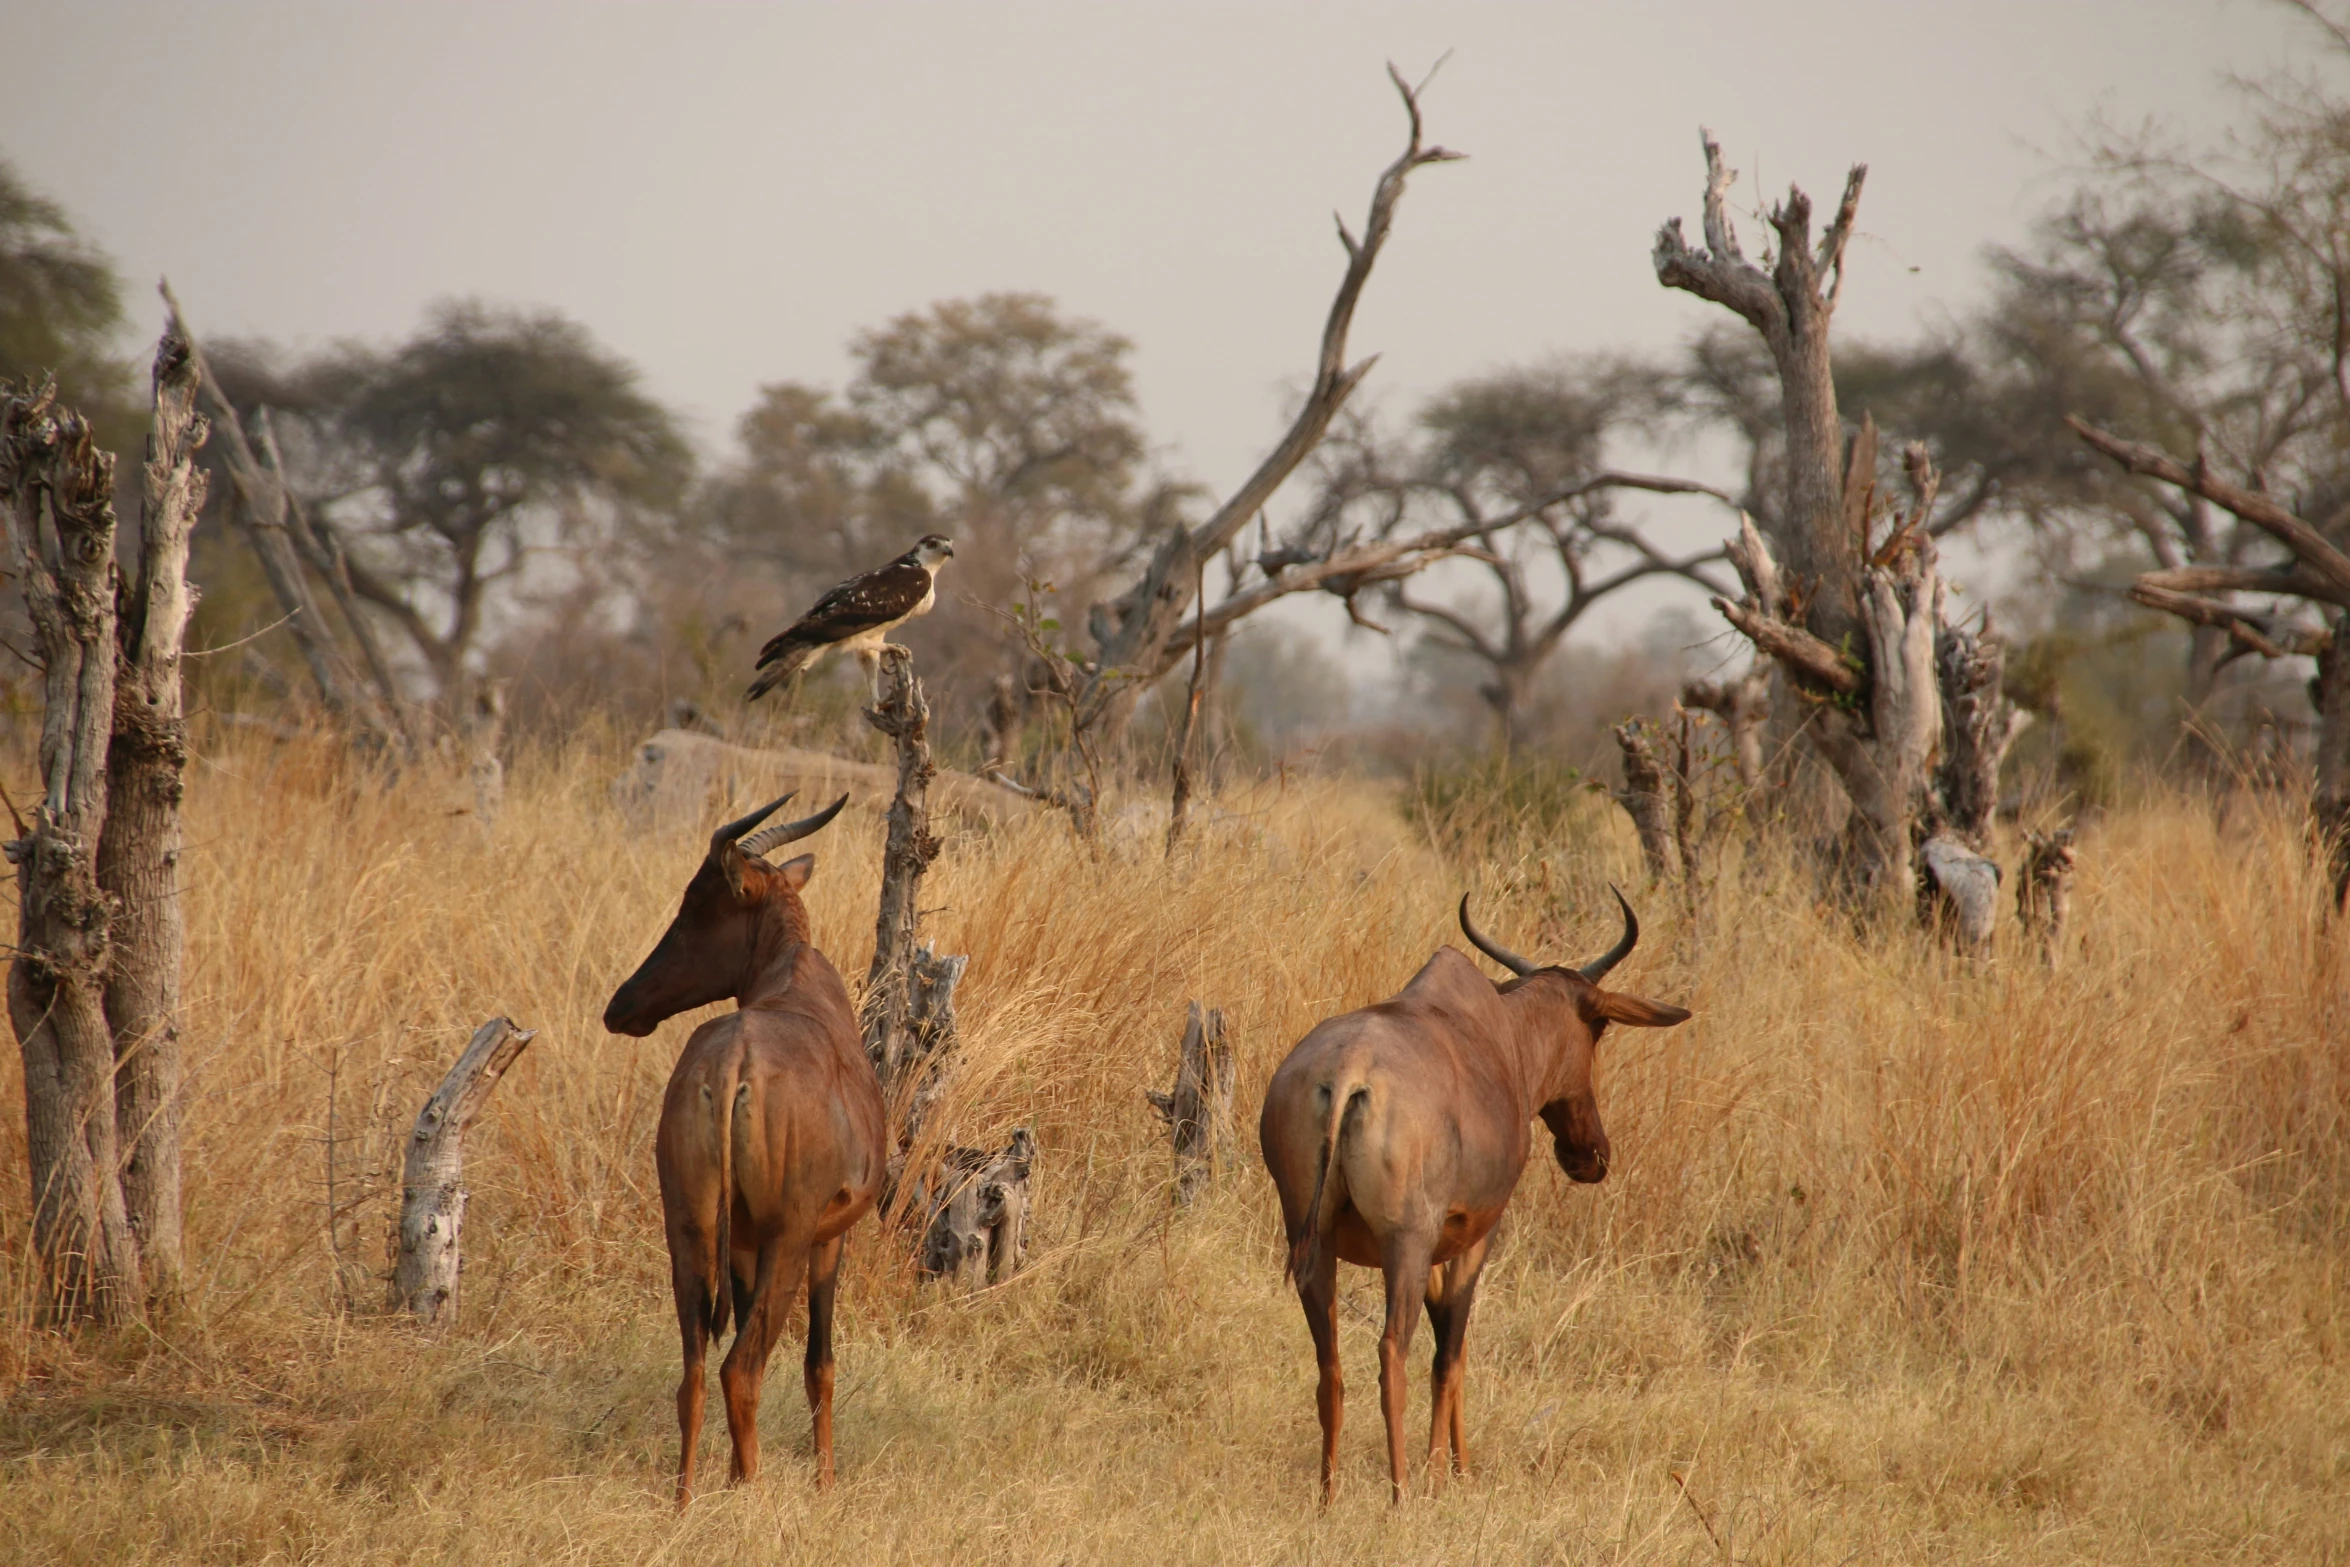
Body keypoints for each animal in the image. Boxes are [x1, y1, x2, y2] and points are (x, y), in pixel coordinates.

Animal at [606, 798, 888, 1503]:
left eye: (696, 904)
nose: (621, 1006)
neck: (794, 978)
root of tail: (731, 1063)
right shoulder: (826, 1238)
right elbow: (821, 1363)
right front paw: (825, 1484)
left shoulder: (743, 1242)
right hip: (788, 1238)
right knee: (743, 1368)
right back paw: (751, 1494)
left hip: (687, 1227)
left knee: (694, 1372)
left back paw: (687, 1501)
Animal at [1269, 888, 1691, 1503]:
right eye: (1599, 1028)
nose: (1590, 1154)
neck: (1496, 1031)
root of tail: (1347, 1070)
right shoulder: (1474, 1236)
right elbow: (1451, 1354)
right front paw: (1445, 1475)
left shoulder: (1437, 1249)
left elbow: (1453, 1348)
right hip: (1404, 1242)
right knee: (1393, 1354)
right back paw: (1401, 1495)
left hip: (1314, 1241)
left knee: (1331, 1365)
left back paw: (1327, 1498)